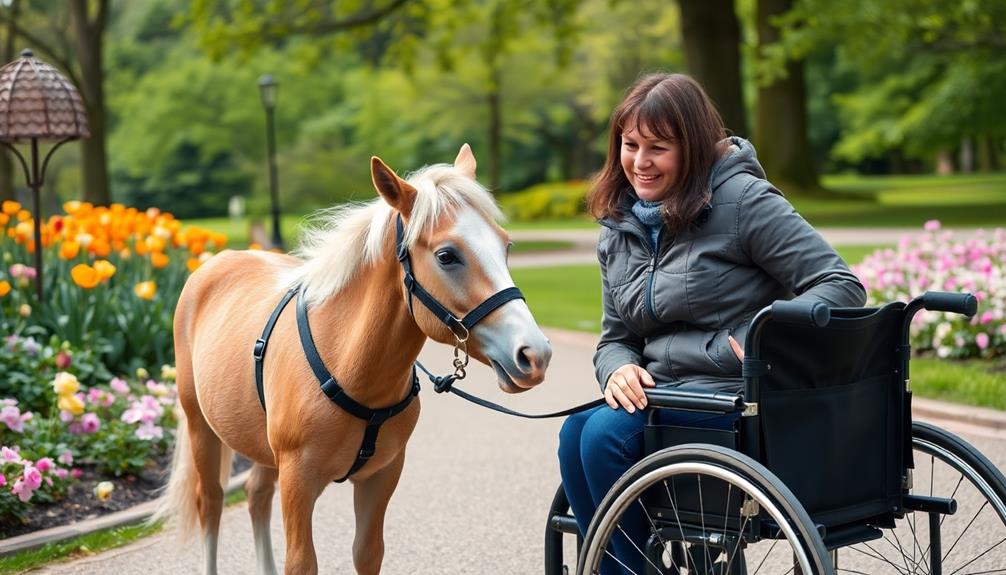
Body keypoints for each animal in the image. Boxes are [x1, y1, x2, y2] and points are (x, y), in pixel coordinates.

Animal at [152, 144, 555, 575]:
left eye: (506, 246)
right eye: (447, 256)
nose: (534, 353)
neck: (349, 363)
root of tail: (214, 265)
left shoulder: (381, 476)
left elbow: (367, 552)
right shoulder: (298, 479)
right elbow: (301, 562)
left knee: (256, 494)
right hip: (200, 426)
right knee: (210, 504)